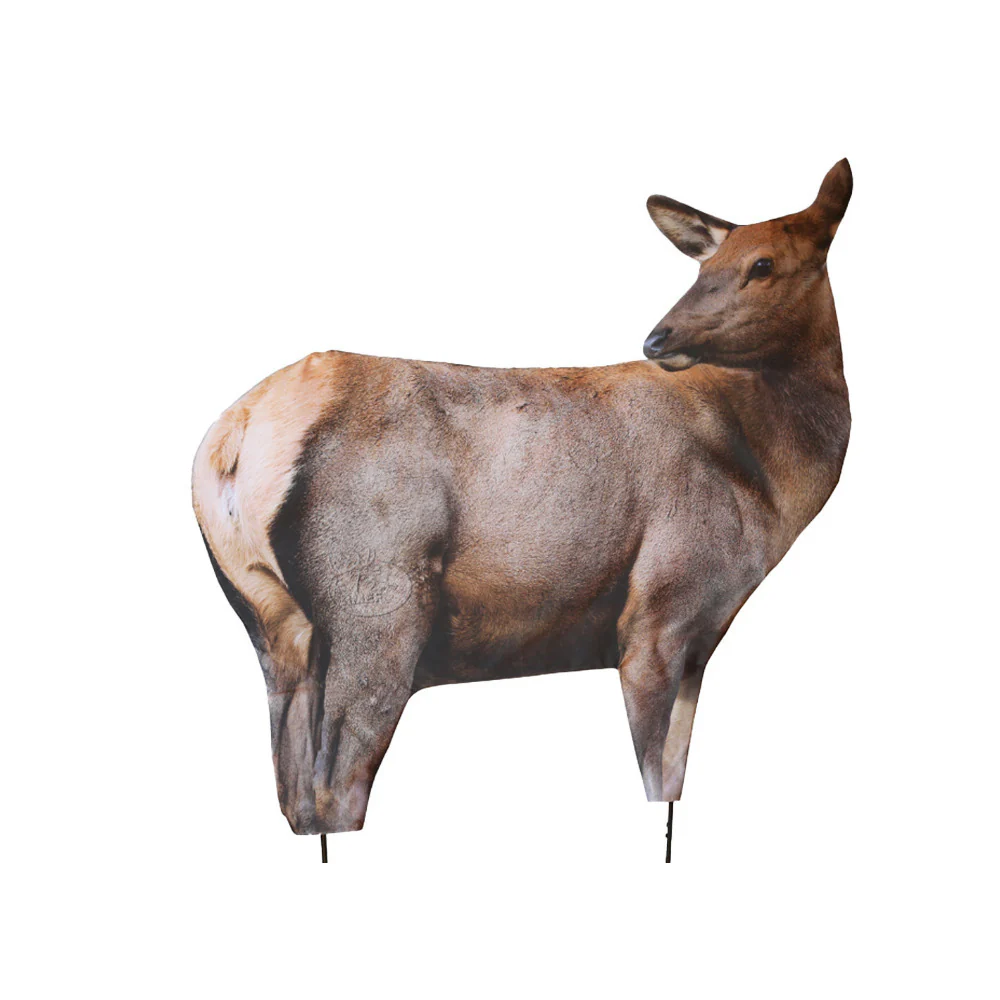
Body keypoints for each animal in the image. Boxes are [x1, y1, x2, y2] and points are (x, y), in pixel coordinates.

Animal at [192, 160, 852, 860]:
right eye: (707, 266)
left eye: (762, 264)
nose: (658, 338)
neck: (771, 486)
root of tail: (234, 437)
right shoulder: (658, 610)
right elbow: (655, 778)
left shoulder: (701, 638)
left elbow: (673, 777)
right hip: (377, 604)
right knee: (335, 789)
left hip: (270, 624)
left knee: (293, 793)